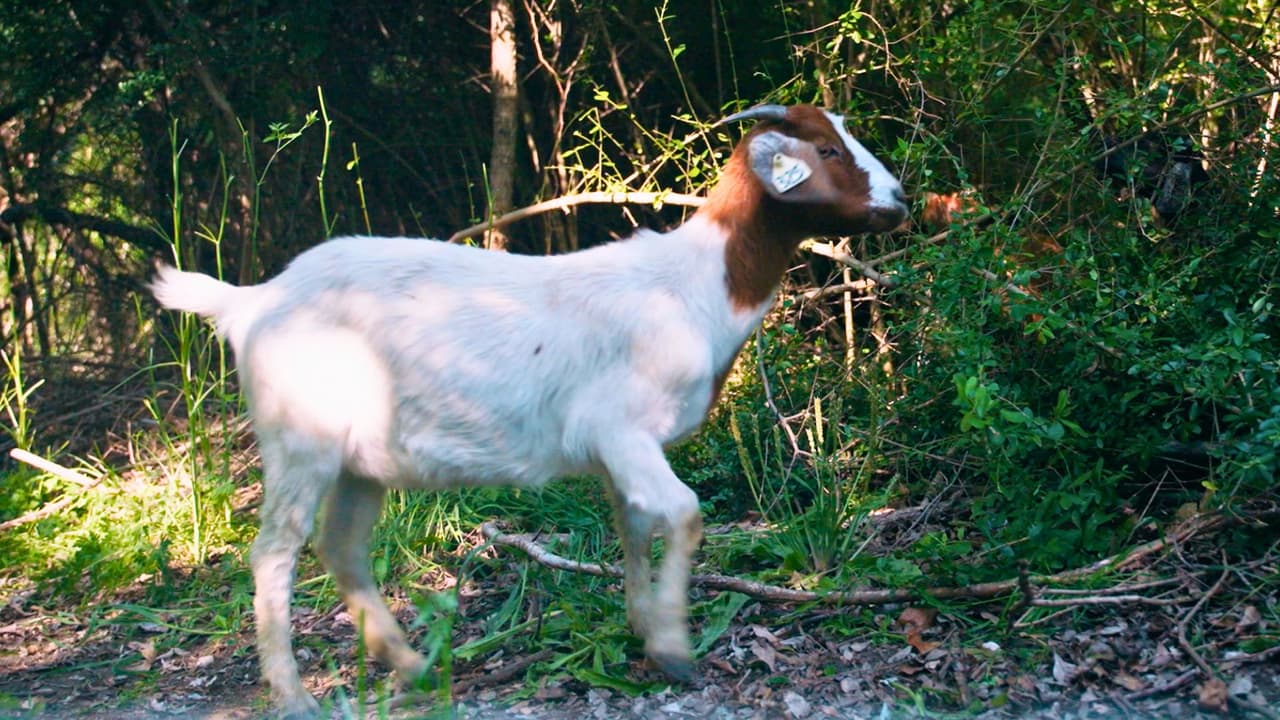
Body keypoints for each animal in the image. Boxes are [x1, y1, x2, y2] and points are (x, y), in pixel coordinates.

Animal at [150, 103, 908, 719]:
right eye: (829, 151)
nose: (900, 199)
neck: (697, 284)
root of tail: (252, 301)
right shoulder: (620, 429)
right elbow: (686, 514)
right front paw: (673, 644)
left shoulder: (621, 452)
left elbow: (635, 528)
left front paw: (645, 629)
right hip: (298, 441)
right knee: (274, 553)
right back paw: (295, 695)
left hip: (360, 458)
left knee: (342, 546)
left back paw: (412, 665)